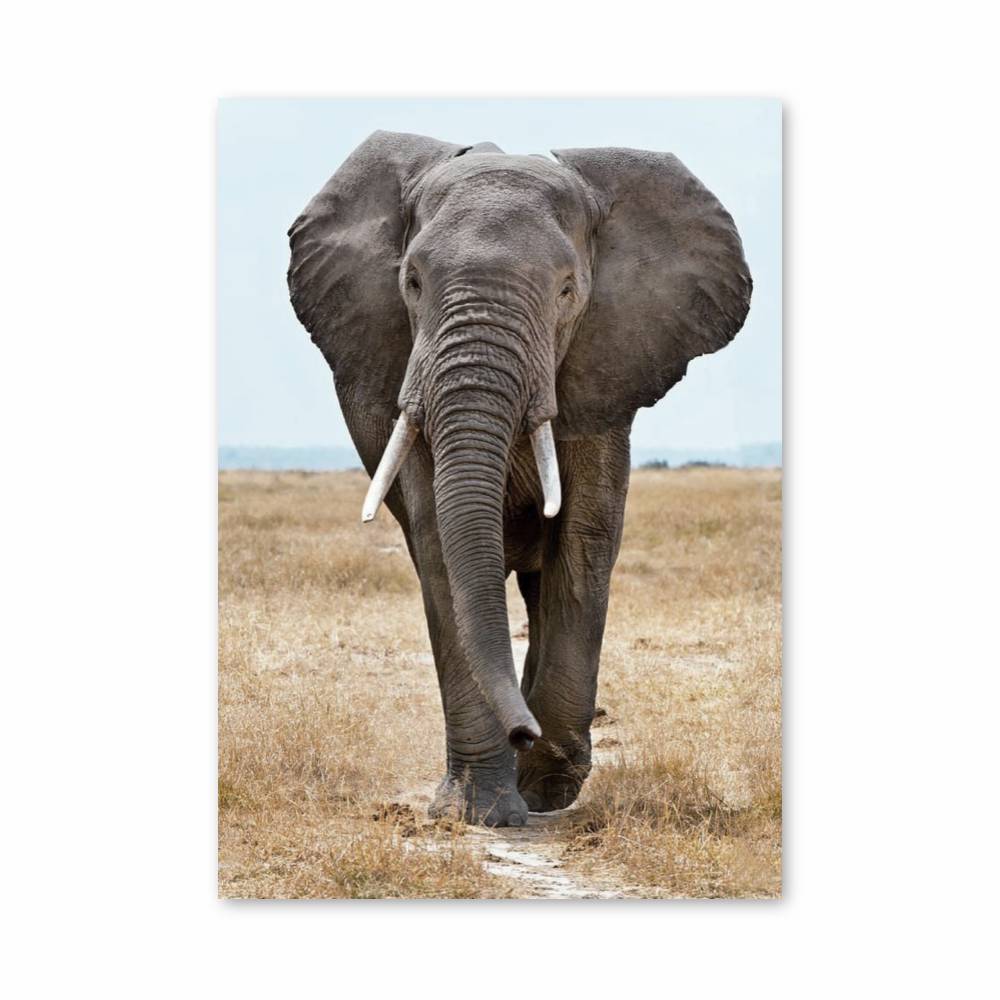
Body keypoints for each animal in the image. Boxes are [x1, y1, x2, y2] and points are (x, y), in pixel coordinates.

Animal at [287, 131, 751, 827]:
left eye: (567, 291)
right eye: (412, 281)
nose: (522, 732)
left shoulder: (602, 370)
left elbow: (584, 540)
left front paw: (546, 788)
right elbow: (440, 547)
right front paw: (479, 809)